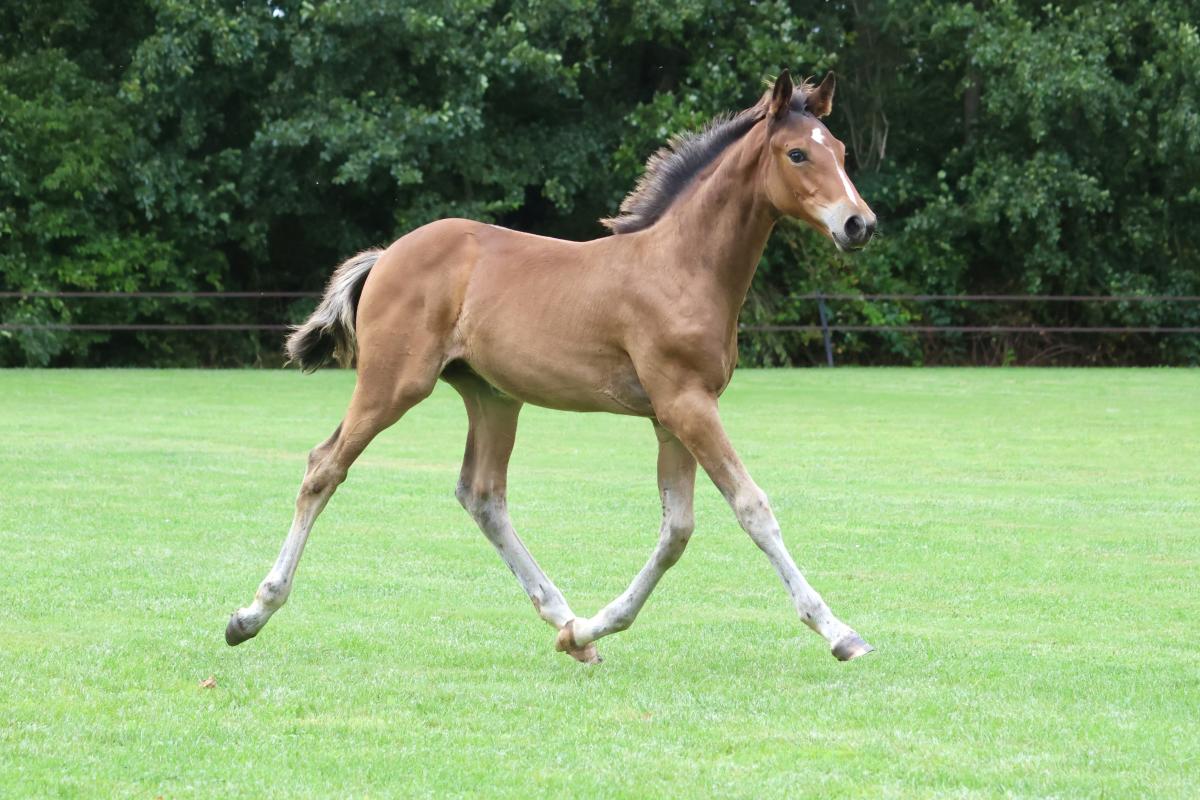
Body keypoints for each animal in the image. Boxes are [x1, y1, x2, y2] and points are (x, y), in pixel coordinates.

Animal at [225, 69, 878, 664]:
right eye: (797, 153)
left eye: (842, 152)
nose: (859, 224)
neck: (681, 264)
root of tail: (388, 254)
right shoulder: (686, 404)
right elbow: (752, 509)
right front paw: (839, 632)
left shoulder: (672, 416)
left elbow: (676, 530)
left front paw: (587, 632)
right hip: (393, 385)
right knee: (324, 467)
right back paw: (251, 614)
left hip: (492, 396)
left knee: (482, 495)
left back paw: (563, 618)